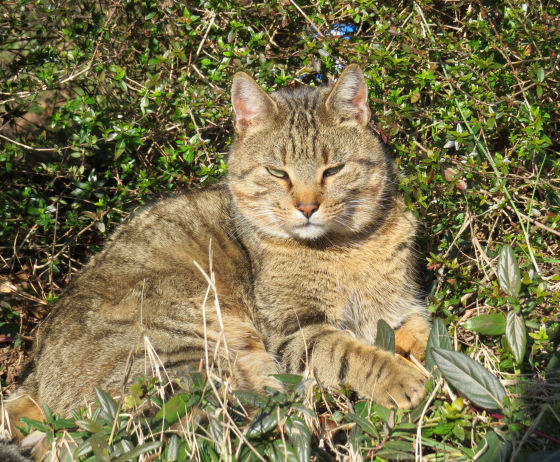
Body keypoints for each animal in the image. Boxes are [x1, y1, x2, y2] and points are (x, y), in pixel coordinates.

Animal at [5, 64, 430, 436]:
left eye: (334, 170)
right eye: (277, 172)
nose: (307, 207)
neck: (347, 246)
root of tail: (34, 377)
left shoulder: (403, 309)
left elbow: (426, 333)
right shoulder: (293, 331)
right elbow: (347, 352)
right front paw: (399, 378)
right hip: (182, 352)